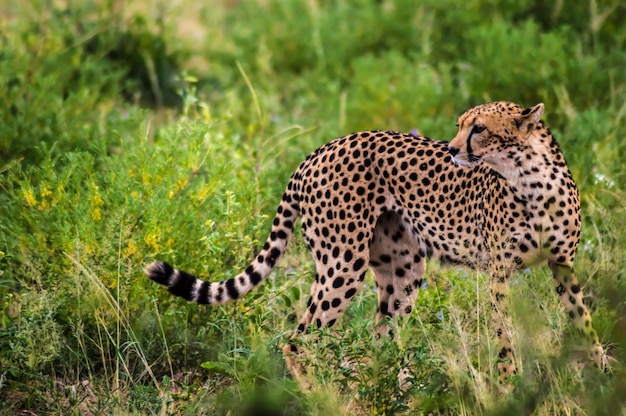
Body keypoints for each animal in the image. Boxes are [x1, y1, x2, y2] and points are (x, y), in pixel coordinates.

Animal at [146, 101, 604, 384]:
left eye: (479, 129)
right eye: (460, 125)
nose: (452, 150)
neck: (530, 178)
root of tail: (318, 151)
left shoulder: (562, 265)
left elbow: (584, 321)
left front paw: (602, 372)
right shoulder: (498, 272)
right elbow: (505, 332)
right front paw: (509, 383)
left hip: (404, 268)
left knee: (382, 336)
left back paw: (399, 389)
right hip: (343, 261)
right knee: (299, 341)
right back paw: (323, 396)